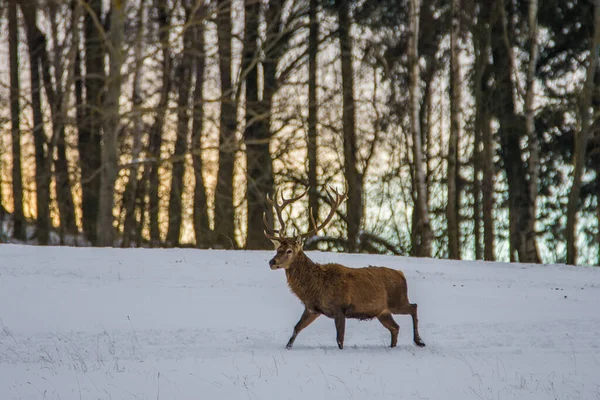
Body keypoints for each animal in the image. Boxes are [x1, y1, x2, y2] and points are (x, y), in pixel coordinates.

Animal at [264, 187, 426, 350]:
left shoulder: (340, 308)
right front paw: (287, 347)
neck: (315, 287)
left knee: (414, 307)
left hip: (398, 301)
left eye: (289, 251)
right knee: (395, 327)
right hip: (382, 312)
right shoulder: (312, 309)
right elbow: (296, 328)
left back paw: (419, 341)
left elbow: (339, 340)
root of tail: (401, 274)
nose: (272, 262)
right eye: (278, 248)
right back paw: (394, 346)